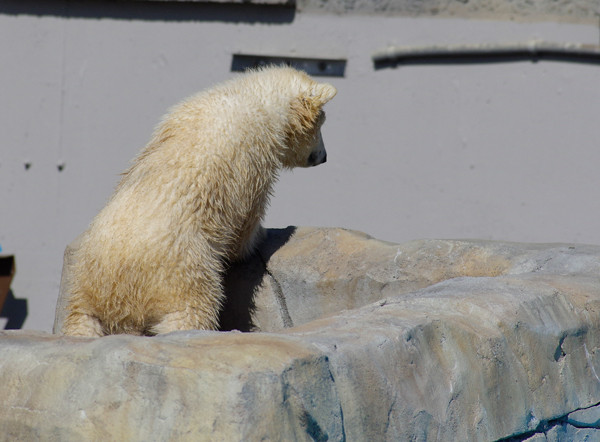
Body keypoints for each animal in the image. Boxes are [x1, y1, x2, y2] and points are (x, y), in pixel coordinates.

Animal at [62, 66, 336, 337]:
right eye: (321, 123)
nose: (323, 157)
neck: (251, 98)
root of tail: (118, 289)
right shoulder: (252, 160)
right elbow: (246, 218)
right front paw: (258, 238)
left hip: (83, 281)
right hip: (185, 270)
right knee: (191, 310)